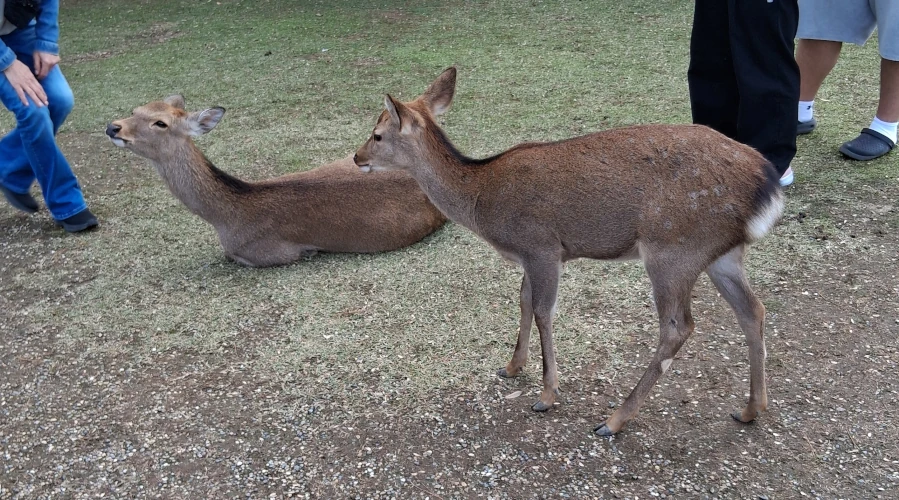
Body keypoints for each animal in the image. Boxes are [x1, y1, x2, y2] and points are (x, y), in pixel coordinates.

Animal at [353, 67, 785, 436]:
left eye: (377, 134)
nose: (357, 158)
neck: (481, 201)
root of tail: (767, 185)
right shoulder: (530, 256)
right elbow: (524, 300)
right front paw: (511, 366)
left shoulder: (542, 245)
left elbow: (544, 311)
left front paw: (547, 395)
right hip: (720, 253)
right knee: (754, 309)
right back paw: (751, 408)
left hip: (672, 249)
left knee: (678, 327)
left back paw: (614, 420)